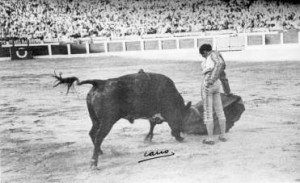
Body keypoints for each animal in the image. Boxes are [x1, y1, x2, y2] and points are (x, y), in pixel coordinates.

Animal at [52, 70, 245, 167]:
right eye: (181, 118)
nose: (183, 133)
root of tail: (100, 83)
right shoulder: (166, 112)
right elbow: (162, 124)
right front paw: (178, 138)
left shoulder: (155, 113)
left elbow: (152, 124)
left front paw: (148, 138)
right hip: (107, 121)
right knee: (98, 136)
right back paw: (94, 162)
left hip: (96, 119)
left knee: (92, 134)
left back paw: (99, 152)